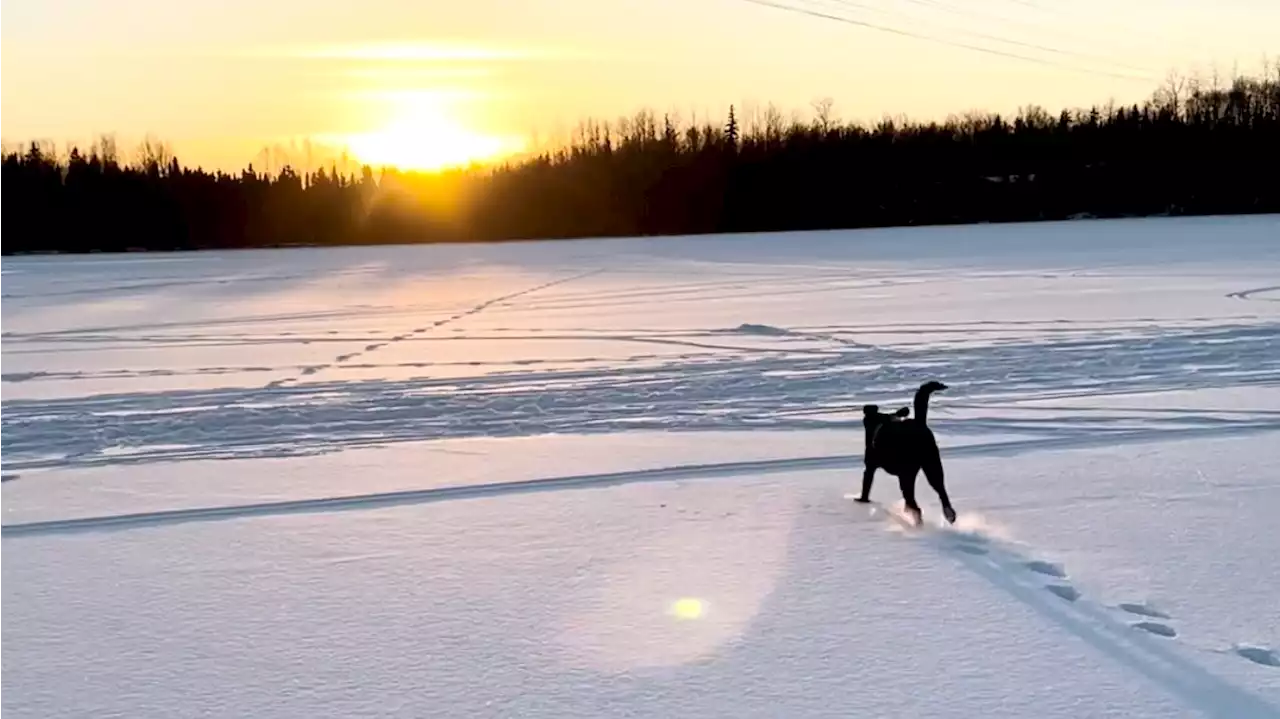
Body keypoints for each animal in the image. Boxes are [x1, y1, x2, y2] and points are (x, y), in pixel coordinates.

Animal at [855, 378, 957, 524]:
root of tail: (919, 425)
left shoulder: (870, 467)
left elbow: (866, 487)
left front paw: (862, 501)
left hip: (908, 474)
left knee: (915, 505)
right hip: (932, 466)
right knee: (941, 492)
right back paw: (948, 514)